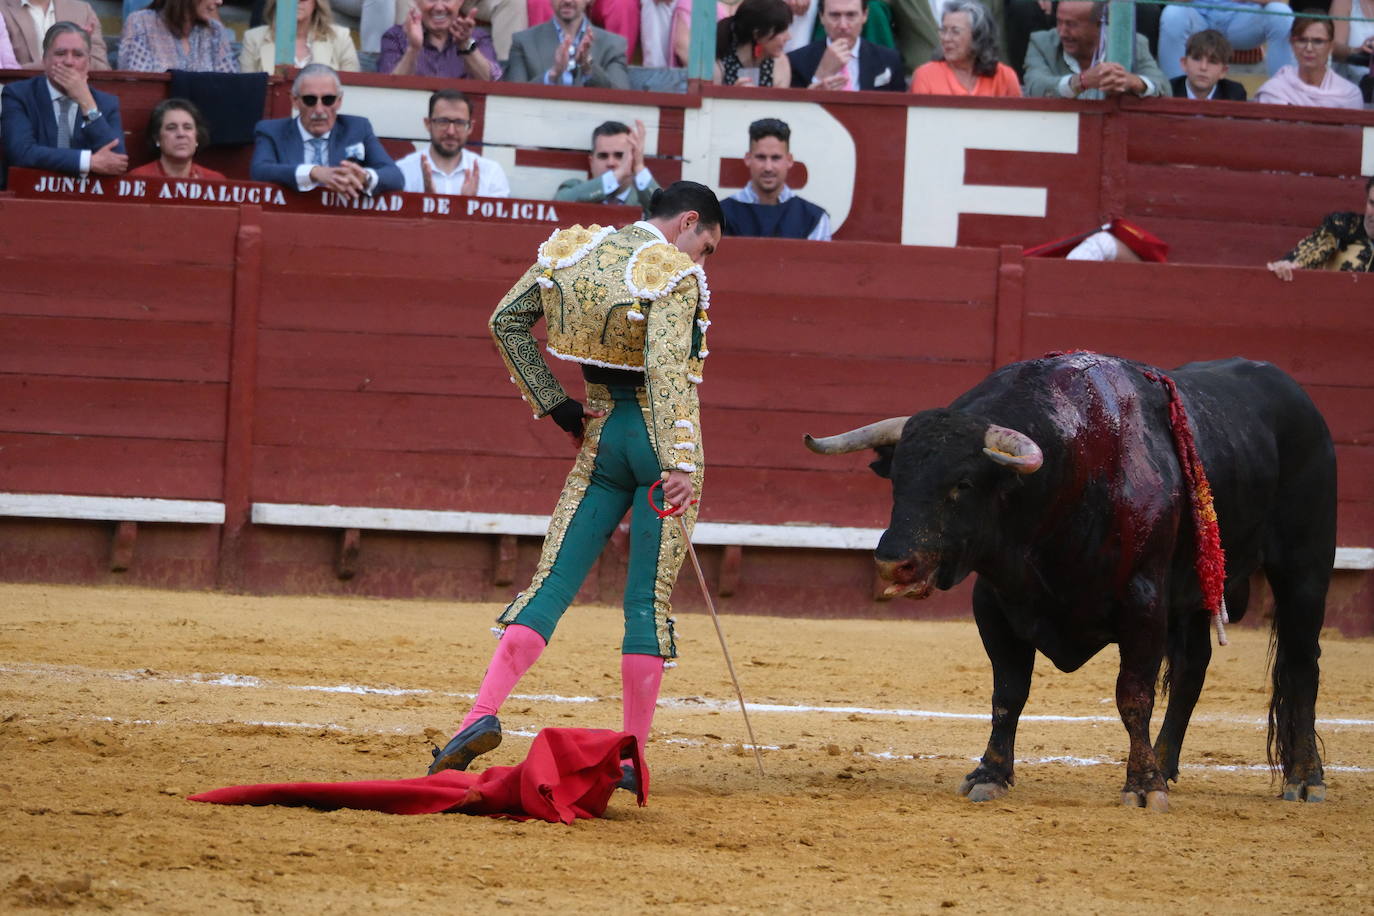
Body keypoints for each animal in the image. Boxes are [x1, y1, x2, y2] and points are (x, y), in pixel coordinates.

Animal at [802, 354, 1330, 813]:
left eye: (964, 483)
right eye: (897, 479)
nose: (896, 564)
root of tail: (1299, 398)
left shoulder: (1144, 603)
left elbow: (1132, 694)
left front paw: (1142, 787)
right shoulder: (995, 603)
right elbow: (1008, 693)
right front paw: (990, 775)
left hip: (1305, 569)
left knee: (1301, 666)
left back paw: (1305, 778)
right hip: (1196, 594)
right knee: (1191, 671)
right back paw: (1166, 763)